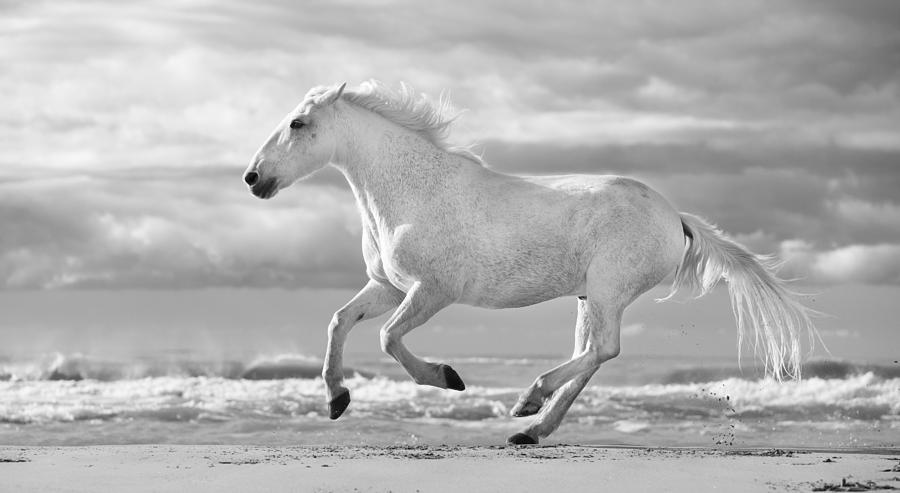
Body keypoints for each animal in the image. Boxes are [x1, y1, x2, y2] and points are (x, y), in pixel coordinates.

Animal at [244, 81, 816, 446]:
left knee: (602, 349)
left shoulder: (432, 291)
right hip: (589, 297)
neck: (413, 191)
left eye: (297, 122)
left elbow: (387, 339)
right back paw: (530, 429)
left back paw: (528, 402)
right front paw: (337, 400)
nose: (253, 178)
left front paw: (448, 378)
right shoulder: (388, 287)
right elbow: (339, 321)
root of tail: (675, 216)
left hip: (606, 291)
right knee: (591, 356)